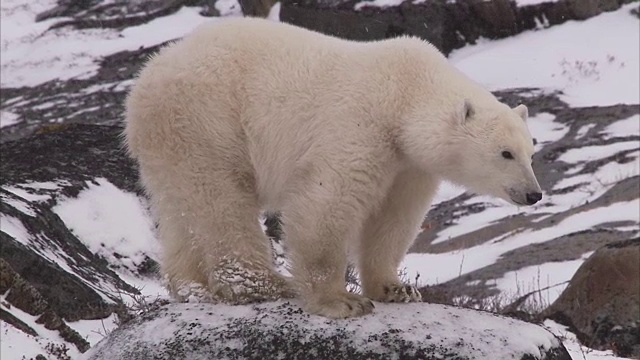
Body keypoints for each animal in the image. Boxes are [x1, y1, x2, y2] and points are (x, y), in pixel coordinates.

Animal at [122, 16, 544, 318]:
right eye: (505, 153)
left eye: (531, 152)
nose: (534, 193)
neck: (404, 93)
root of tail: (144, 81)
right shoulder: (359, 127)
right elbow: (327, 203)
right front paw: (341, 301)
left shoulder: (408, 165)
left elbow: (393, 219)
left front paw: (397, 288)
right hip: (205, 120)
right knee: (221, 200)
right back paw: (264, 284)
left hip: (173, 143)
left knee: (181, 209)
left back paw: (192, 288)